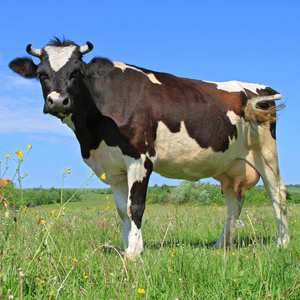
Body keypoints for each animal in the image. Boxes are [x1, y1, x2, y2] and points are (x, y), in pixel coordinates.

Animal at [7, 37, 288, 258]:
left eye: (77, 71)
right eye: (42, 74)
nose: (57, 101)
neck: (93, 133)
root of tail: (257, 87)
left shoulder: (140, 159)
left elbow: (136, 206)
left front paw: (134, 251)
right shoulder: (114, 168)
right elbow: (122, 211)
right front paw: (124, 247)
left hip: (266, 154)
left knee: (278, 195)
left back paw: (282, 243)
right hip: (230, 165)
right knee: (233, 203)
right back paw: (221, 245)